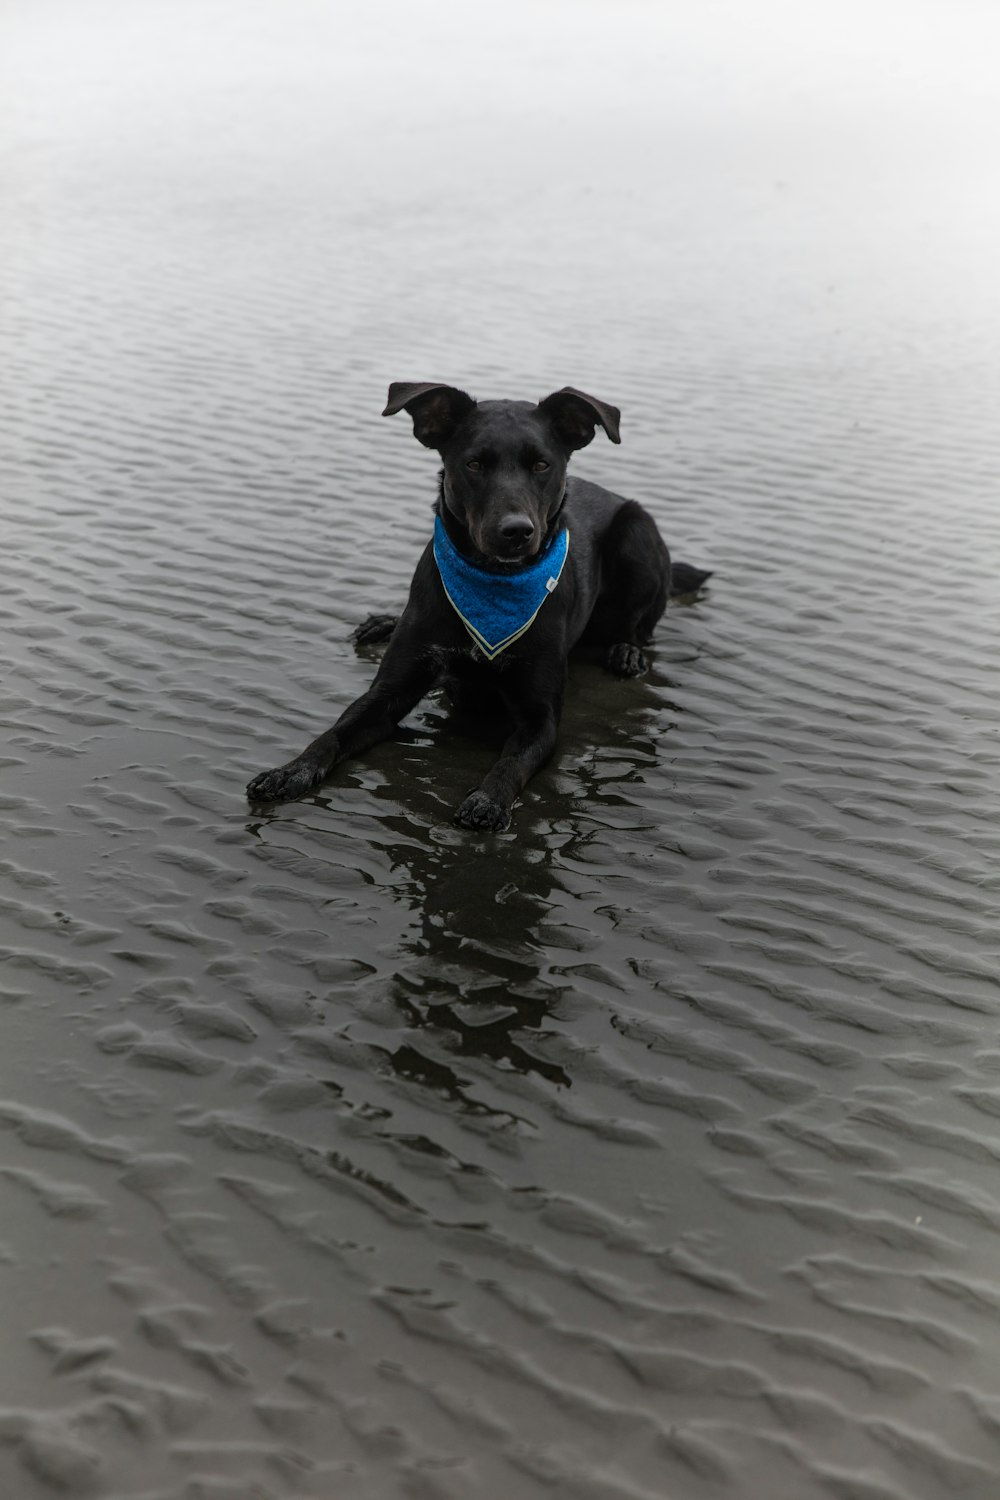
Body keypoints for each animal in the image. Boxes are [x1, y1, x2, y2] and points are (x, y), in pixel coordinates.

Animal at [245, 384, 707, 834]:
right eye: (474, 464)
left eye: (542, 465)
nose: (516, 531)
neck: (491, 586)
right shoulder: (388, 693)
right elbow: (334, 733)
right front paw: (291, 770)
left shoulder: (540, 719)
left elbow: (511, 764)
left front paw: (488, 800)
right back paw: (385, 623)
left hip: (637, 531)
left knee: (639, 627)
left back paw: (626, 651)